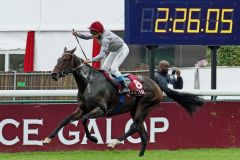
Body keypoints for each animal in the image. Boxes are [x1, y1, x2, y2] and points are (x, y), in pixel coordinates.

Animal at [43, 47, 204, 156]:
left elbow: (83, 119)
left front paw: (94, 138)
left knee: (134, 127)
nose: (53, 74)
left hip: (144, 106)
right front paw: (47, 138)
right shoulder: (82, 108)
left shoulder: (101, 109)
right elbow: (65, 120)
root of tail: (157, 84)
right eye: (58, 59)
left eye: (65, 60)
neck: (89, 82)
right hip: (136, 110)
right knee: (143, 135)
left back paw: (114, 142)